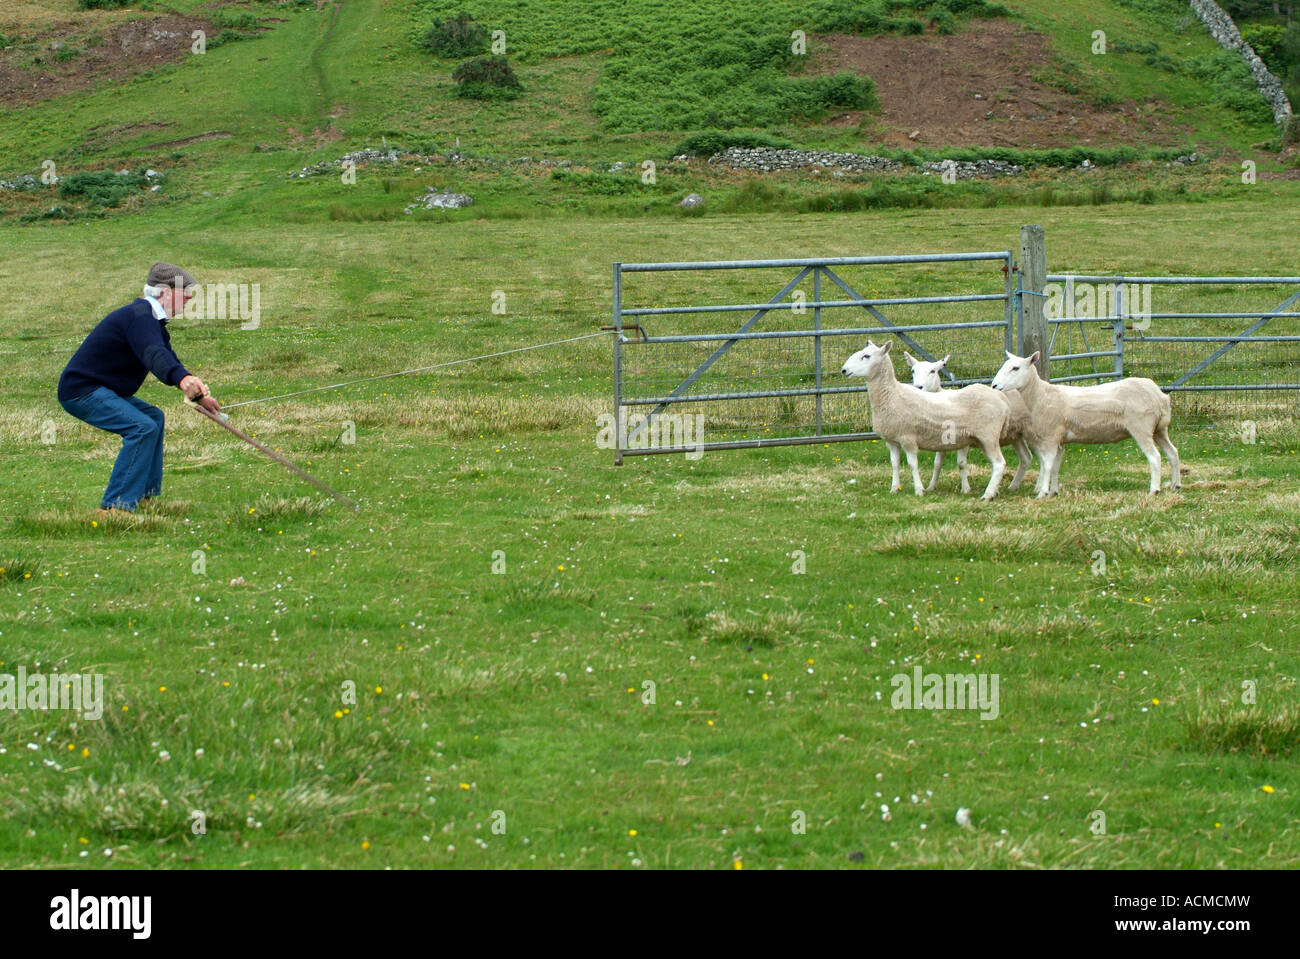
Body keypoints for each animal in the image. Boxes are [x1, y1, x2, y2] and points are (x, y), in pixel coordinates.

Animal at [837, 337, 1008, 501]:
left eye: (866, 356)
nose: (844, 370)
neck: (892, 395)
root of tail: (1000, 398)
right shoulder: (891, 441)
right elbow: (894, 464)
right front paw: (894, 489)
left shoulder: (908, 438)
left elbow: (913, 465)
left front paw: (919, 490)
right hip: (979, 438)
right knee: (995, 464)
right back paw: (993, 491)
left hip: (989, 435)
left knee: (999, 463)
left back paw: (988, 495)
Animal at [904, 350, 1034, 493]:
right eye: (913, 370)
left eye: (933, 371)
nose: (918, 387)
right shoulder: (941, 438)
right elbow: (937, 463)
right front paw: (931, 486)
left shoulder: (963, 438)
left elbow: (961, 463)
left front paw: (965, 489)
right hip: (1015, 436)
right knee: (1026, 458)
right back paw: (1013, 486)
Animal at [987, 348, 1185, 496]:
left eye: (1015, 368)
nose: (994, 386)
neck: (1041, 395)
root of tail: (1160, 396)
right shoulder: (1060, 440)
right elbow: (1056, 466)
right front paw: (1053, 492)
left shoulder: (1051, 436)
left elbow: (1048, 464)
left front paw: (1042, 492)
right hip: (1159, 429)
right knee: (1173, 453)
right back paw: (1175, 485)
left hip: (1141, 427)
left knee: (1155, 457)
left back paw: (1154, 489)